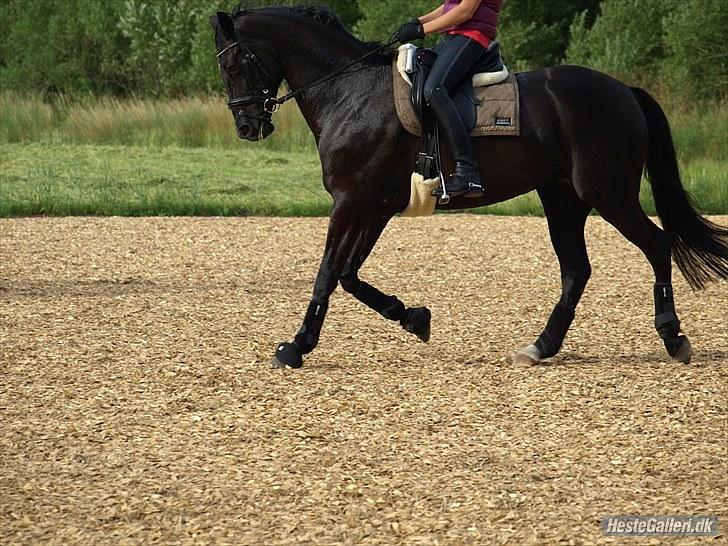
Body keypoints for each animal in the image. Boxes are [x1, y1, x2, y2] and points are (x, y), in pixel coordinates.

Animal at [208, 5, 724, 366]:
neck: (349, 92)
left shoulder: (351, 202)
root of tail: (623, 91)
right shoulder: (373, 205)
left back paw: (673, 336)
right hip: (563, 199)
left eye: (233, 65)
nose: (248, 127)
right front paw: (414, 318)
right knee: (576, 270)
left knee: (656, 245)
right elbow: (349, 275)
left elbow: (327, 273)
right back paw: (540, 347)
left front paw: (297, 346)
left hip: (608, 194)